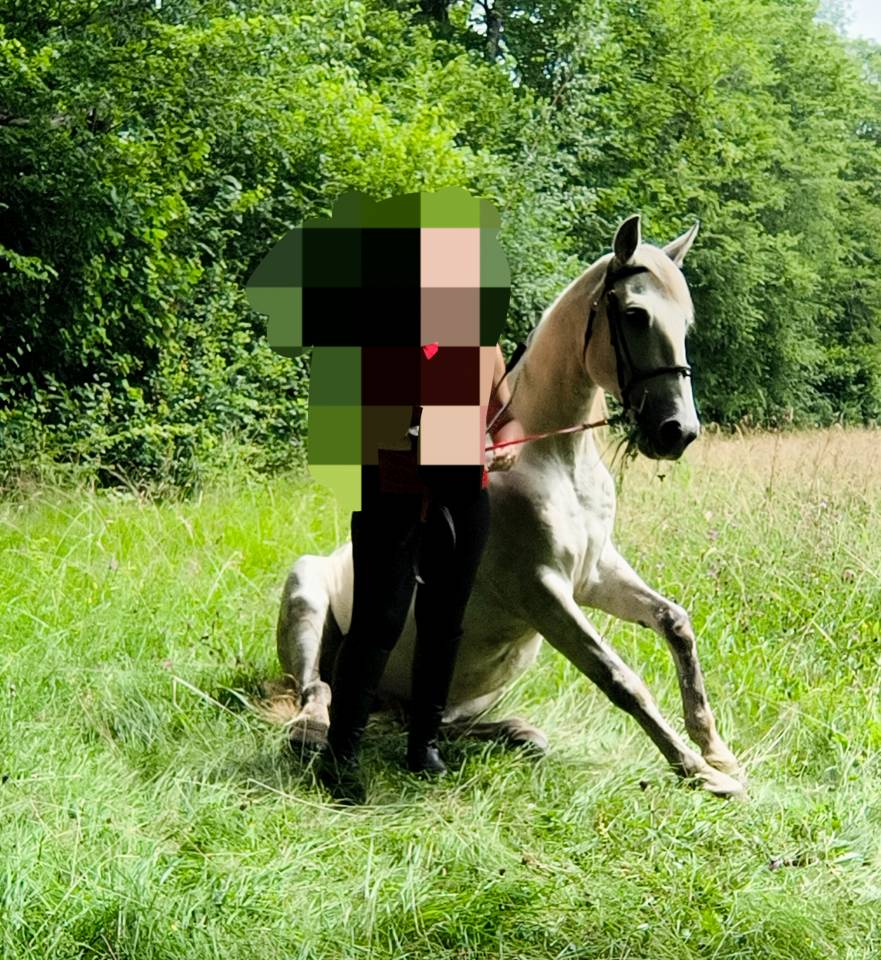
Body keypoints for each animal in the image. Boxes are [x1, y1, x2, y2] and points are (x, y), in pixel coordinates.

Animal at [268, 214, 745, 797]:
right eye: (635, 315)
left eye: (686, 322)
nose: (677, 432)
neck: (553, 458)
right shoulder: (542, 591)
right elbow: (621, 678)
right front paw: (700, 771)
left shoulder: (594, 575)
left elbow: (674, 622)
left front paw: (716, 750)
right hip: (307, 599)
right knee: (318, 690)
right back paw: (313, 733)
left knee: (437, 720)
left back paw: (510, 733)